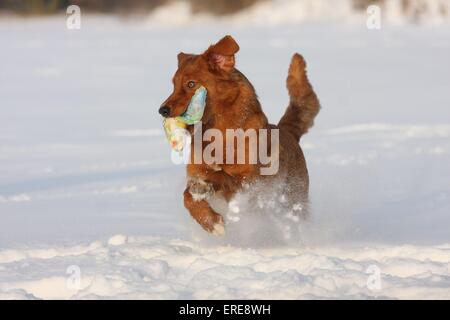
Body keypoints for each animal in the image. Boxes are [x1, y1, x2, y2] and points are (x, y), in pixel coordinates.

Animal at [160, 35, 318, 235]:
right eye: (173, 85)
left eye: (191, 84)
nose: (162, 110)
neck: (217, 132)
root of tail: (288, 132)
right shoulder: (196, 172)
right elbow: (187, 196)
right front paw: (211, 221)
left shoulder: (250, 183)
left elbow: (223, 176)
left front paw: (204, 186)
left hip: (294, 199)